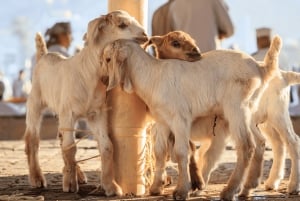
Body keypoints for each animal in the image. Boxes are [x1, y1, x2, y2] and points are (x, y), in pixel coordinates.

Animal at [23, 10, 148, 196]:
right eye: (122, 25)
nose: (145, 35)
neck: (88, 72)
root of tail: (44, 55)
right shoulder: (69, 113)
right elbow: (70, 148)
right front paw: (69, 184)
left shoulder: (96, 113)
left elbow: (107, 146)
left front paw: (111, 186)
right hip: (35, 103)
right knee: (33, 140)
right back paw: (37, 178)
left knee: (60, 139)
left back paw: (78, 174)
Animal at [102, 38, 282, 201]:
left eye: (108, 59)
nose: (104, 80)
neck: (153, 75)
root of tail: (261, 68)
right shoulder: (162, 121)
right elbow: (159, 152)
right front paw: (155, 188)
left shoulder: (180, 119)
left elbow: (181, 152)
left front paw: (181, 191)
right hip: (249, 111)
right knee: (260, 142)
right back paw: (247, 188)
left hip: (236, 107)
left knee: (246, 146)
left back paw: (229, 191)